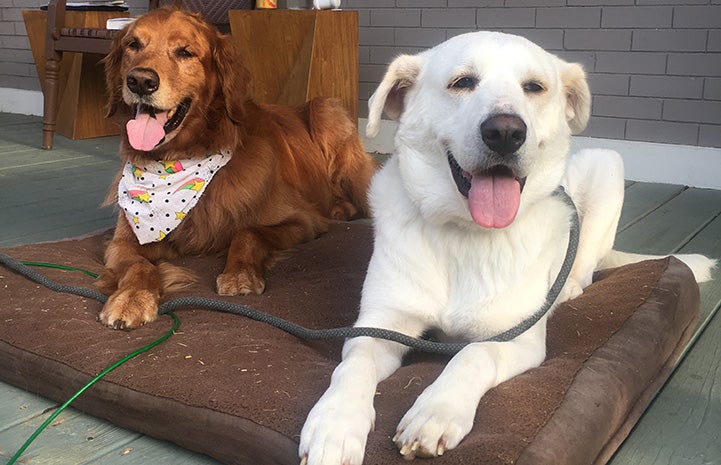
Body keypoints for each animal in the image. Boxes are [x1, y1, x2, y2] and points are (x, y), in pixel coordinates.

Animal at [97, 8, 376, 330]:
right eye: (133, 45)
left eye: (185, 52)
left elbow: (248, 233)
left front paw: (239, 274)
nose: (141, 81)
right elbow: (138, 265)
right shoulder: (121, 241)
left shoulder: (303, 219)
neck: (181, 159)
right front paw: (132, 297)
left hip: (326, 111)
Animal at [298, 32, 716, 464]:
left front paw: (436, 411)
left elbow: (473, 354)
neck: (465, 234)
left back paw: (566, 288)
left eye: (534, 87)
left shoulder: (518, 338)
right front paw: (335, 424)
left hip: (606, 164)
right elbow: (353, 367)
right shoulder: (380, 325)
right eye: (462, 82)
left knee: (584, 265)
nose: (505, 132)